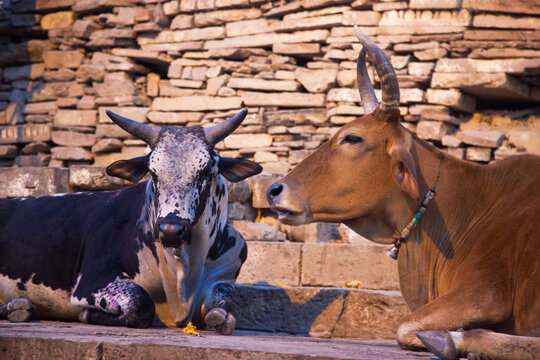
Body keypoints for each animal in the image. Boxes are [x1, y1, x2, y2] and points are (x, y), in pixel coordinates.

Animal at [0, 109, 262, 334]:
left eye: (206, 171)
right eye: (153, 172)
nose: (170, 230)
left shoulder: (223, 278)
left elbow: (225, 310)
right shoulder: (92, 281)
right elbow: (142, 303)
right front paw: (87, 314)